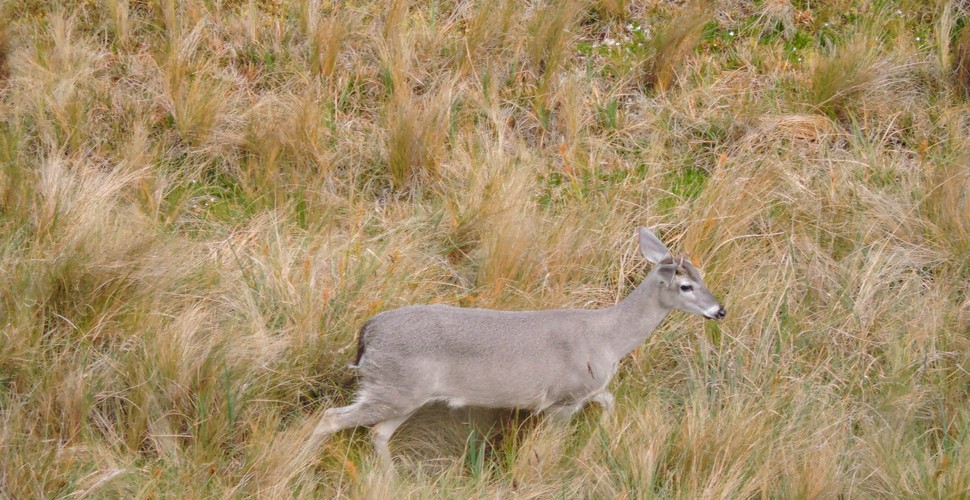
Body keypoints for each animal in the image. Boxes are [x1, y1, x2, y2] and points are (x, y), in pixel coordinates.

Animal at [306, 227, 724, 464]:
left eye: (704, 276)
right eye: (686, 286)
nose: (719, 310)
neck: (608, 338)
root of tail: (368, 332)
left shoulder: (587, 391)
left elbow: (610, 402)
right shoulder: (564, 398)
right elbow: (551, 444)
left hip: (404, 394)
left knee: (377, 434)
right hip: (395, 389)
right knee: (330, 418)